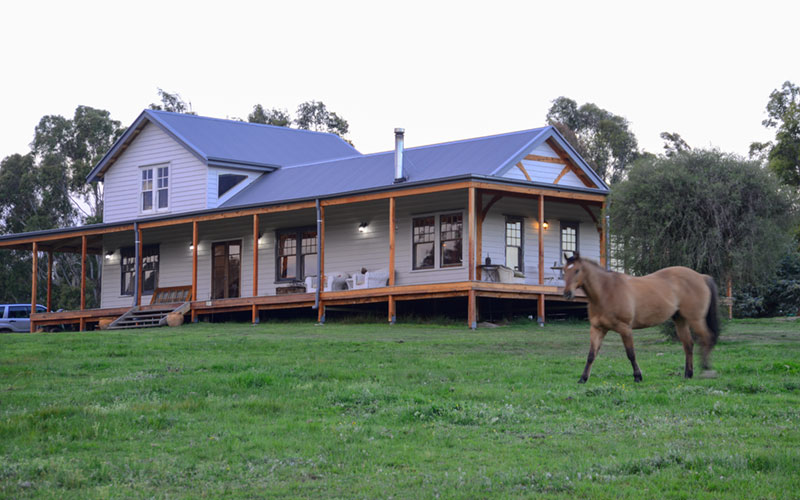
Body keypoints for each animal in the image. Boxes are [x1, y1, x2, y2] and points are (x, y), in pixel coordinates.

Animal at [564, 254, 720, 382]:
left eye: (577, 270)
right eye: (564, 270)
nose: (567, 294)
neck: (606, 291)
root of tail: (701, 276)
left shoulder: (625, 329)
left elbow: (631, 354)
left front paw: (638, 376)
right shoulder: (597, 329)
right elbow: (591, 355)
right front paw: (583, 378)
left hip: (696, 320)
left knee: (706, 338)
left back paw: (706, 370)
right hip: (681, 320)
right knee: (688, 345)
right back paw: (688, 374)